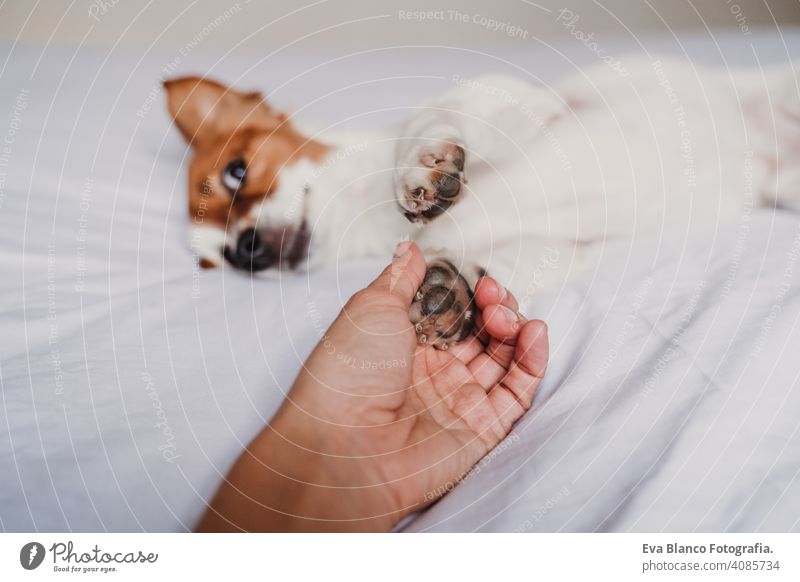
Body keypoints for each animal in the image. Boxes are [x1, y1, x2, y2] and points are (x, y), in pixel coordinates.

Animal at [162, 58, 800, 352]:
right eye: (210, 263)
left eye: (237, 171)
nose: (243, 250)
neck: (364, 218)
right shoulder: (566, 248)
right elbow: (501, 267)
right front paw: (454, 291)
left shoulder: (524, 103)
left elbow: (441, 120)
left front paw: (425, 169)